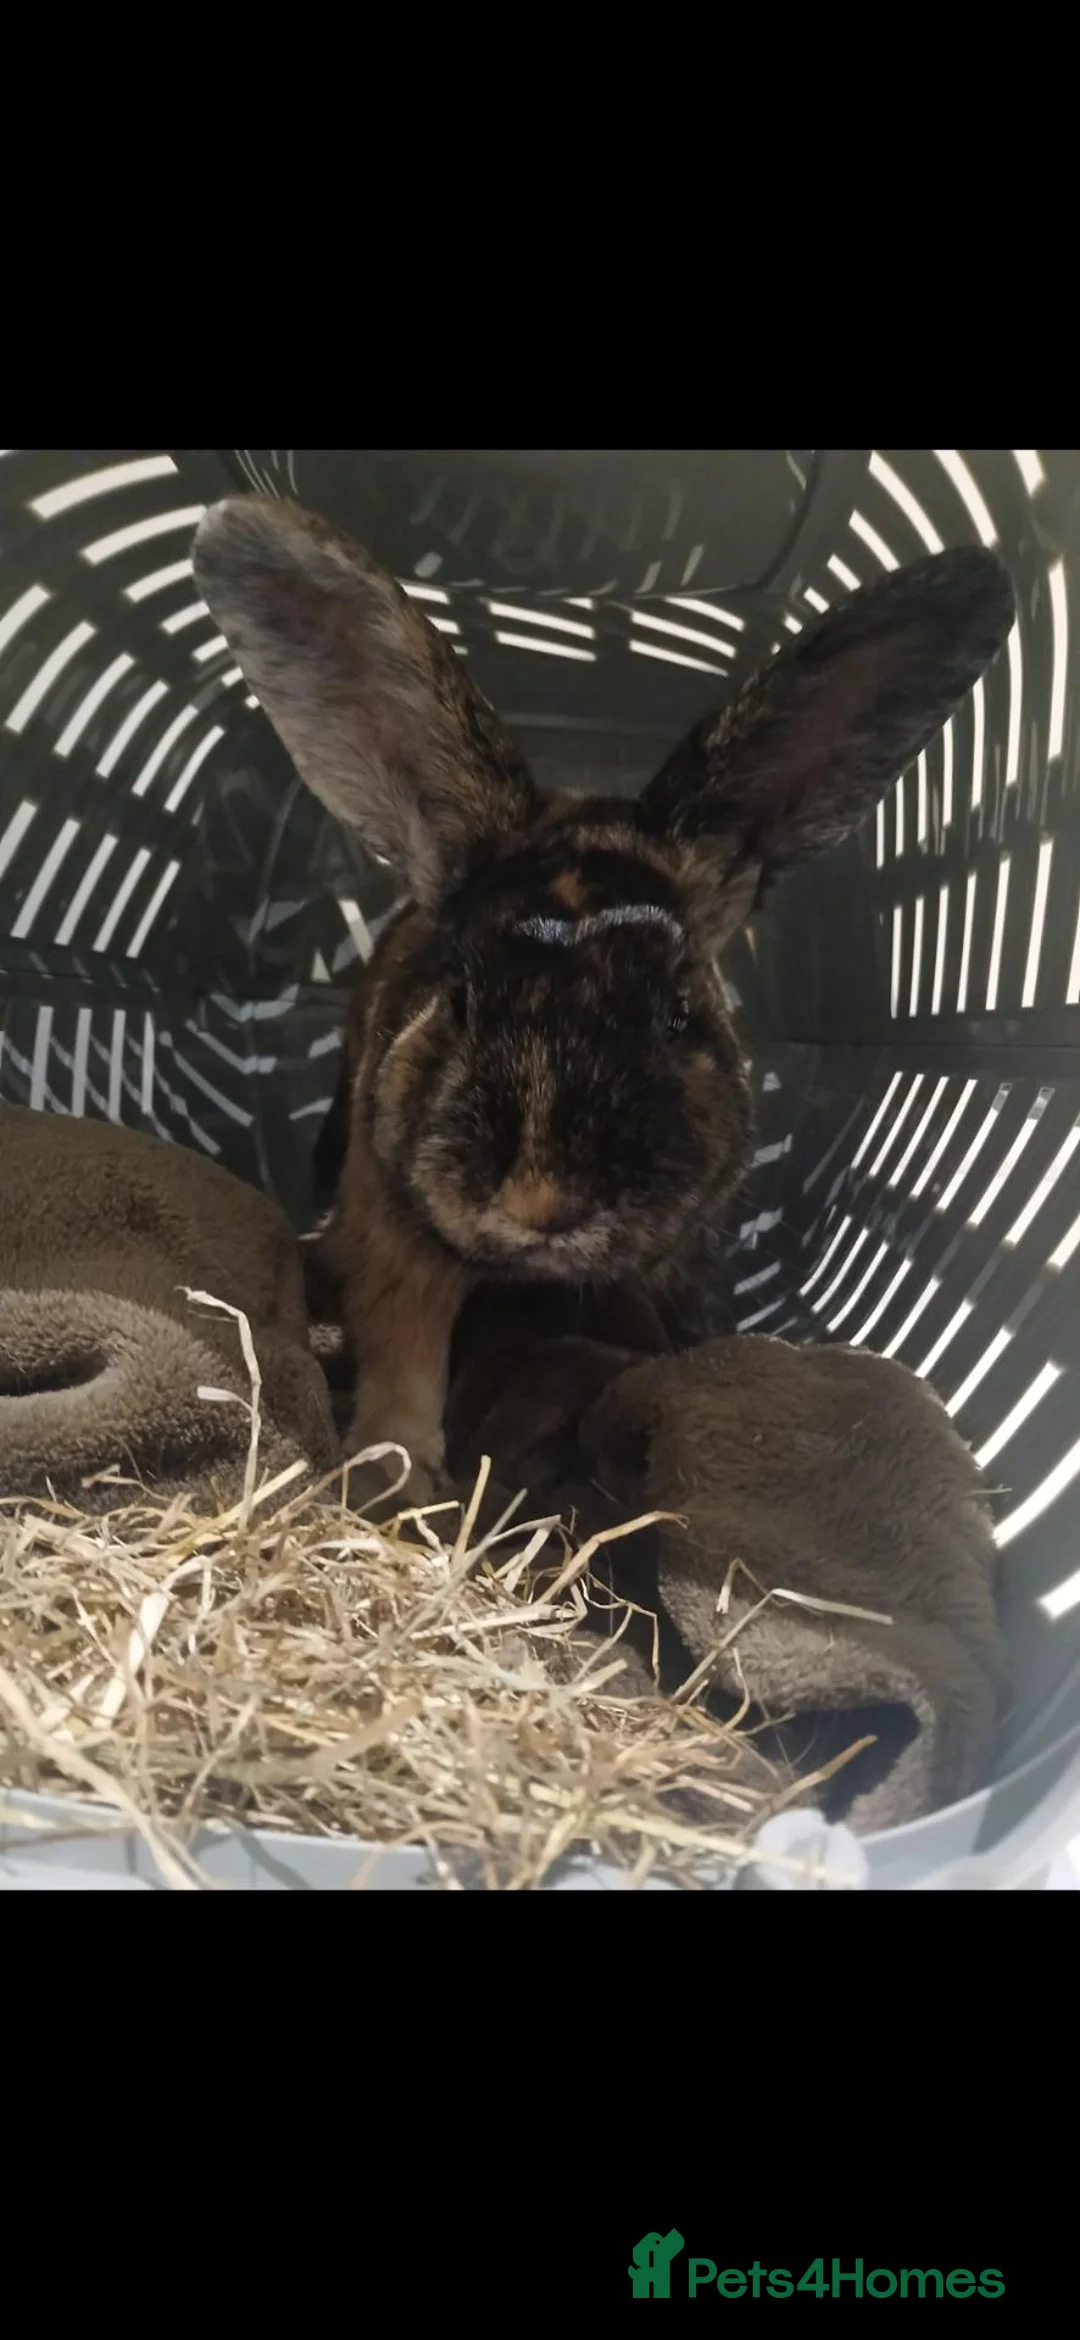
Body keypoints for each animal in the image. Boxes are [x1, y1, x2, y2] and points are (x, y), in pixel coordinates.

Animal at [193, 496, 1013, 1503]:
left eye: (676, 1011)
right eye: (460, 999)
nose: (546, 1203)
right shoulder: (393, 1235)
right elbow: (405, 1351)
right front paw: (397, 1472)